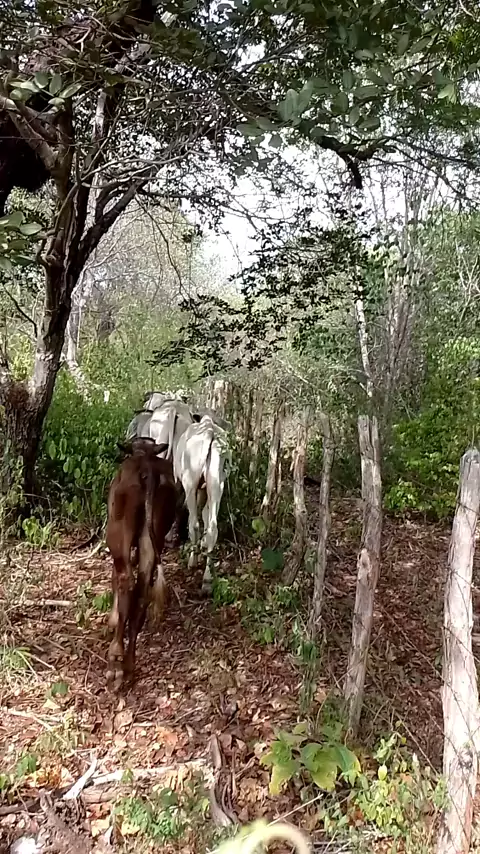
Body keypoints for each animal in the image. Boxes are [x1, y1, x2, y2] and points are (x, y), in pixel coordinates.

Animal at [106, 436, 177, 691]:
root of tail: (146, 468)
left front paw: (112, 618)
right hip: (153, 533)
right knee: (143, 588)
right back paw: (129, 664)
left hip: (118, 531)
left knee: (125, 579)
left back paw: (116, 657)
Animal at [173, 414, 231, 595]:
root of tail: (209, 430)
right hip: (217, 483)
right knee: (212, 527)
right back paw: (207, 579)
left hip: (190, 483)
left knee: (194, 523)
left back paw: (193, 561)